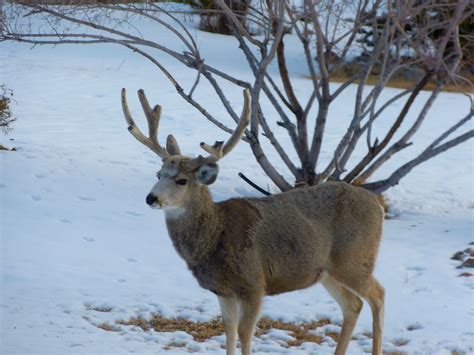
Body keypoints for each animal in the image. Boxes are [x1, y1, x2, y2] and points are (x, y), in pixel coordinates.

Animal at [121, 87, 386, 355]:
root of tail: (378, 205)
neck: (215, 233)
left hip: (355, 258)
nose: (151, 197)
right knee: (353, 305)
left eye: (181, 180)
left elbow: (244, 333)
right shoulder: (223, 290)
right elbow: (228, 330)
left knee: (378, 295)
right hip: (326, 271)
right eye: (158, 174)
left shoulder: (253, 283)